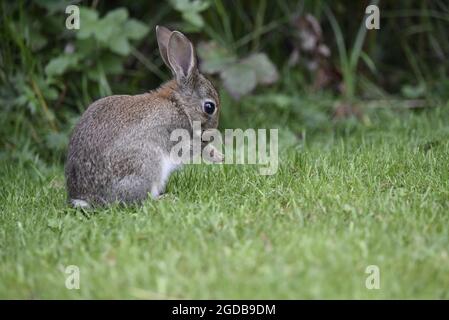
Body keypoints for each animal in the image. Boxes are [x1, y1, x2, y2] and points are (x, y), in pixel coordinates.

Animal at [65, 26, 222, 209]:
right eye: (209, 107)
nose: (212, 130)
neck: (180, 105)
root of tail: (87, 199)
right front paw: (216, 155)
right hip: (148, 164)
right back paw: (166, 198)